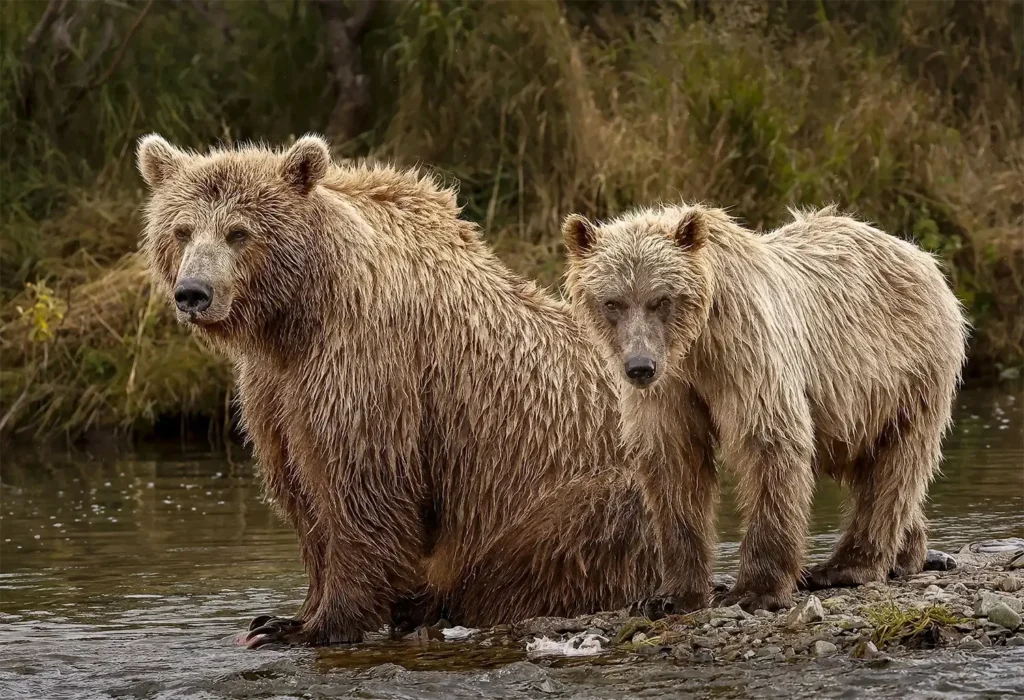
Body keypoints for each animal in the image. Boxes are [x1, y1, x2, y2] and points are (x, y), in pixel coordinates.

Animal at [136, 133, 661, 647]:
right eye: (182, 230)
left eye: (238, 232)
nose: (193, 292)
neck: (295, 315)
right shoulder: (274, 389)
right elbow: (301, 492)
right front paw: (281, 617)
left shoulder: (368, 361)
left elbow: (361, 484)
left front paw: (318, 625)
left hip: (580, 487)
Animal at [562, 203, 969, 613]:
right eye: (612, 302)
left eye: (662, 299)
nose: (640, 366)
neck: (694, 346)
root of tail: (918, 254)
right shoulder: (670, 390)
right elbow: (674, 465)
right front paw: (672, 596)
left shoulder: (745, 353)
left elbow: (768, 442)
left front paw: (756, 590)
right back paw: (907, 553)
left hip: (904, 370)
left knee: (895, 463)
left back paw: (847, 566)